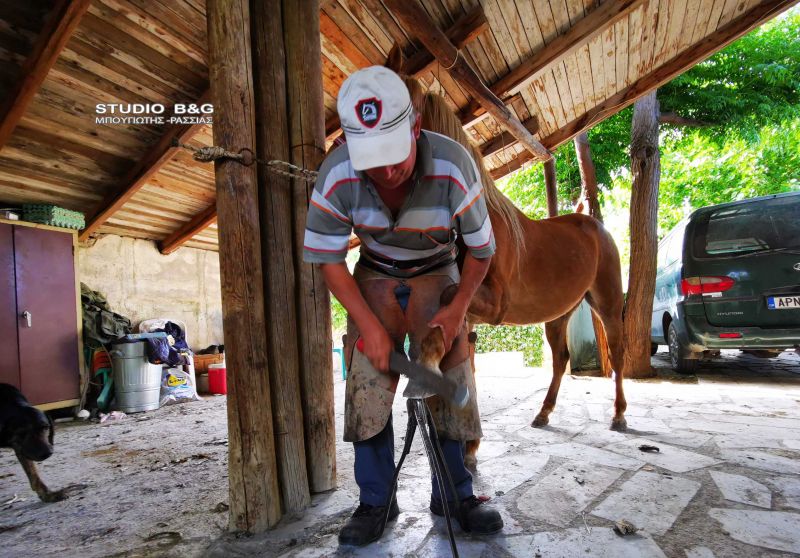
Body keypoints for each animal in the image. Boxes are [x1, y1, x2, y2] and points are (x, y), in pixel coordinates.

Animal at [406, 75, 632, 468]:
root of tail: (597, 227)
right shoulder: (469, 317)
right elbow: (468, 370)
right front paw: (470, 447)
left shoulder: (492, 303)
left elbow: (446, 304)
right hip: (558, 315)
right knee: (560, 360)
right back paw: (543, 413)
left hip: (605, 302)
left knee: (617, 353)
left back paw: (618, 415)